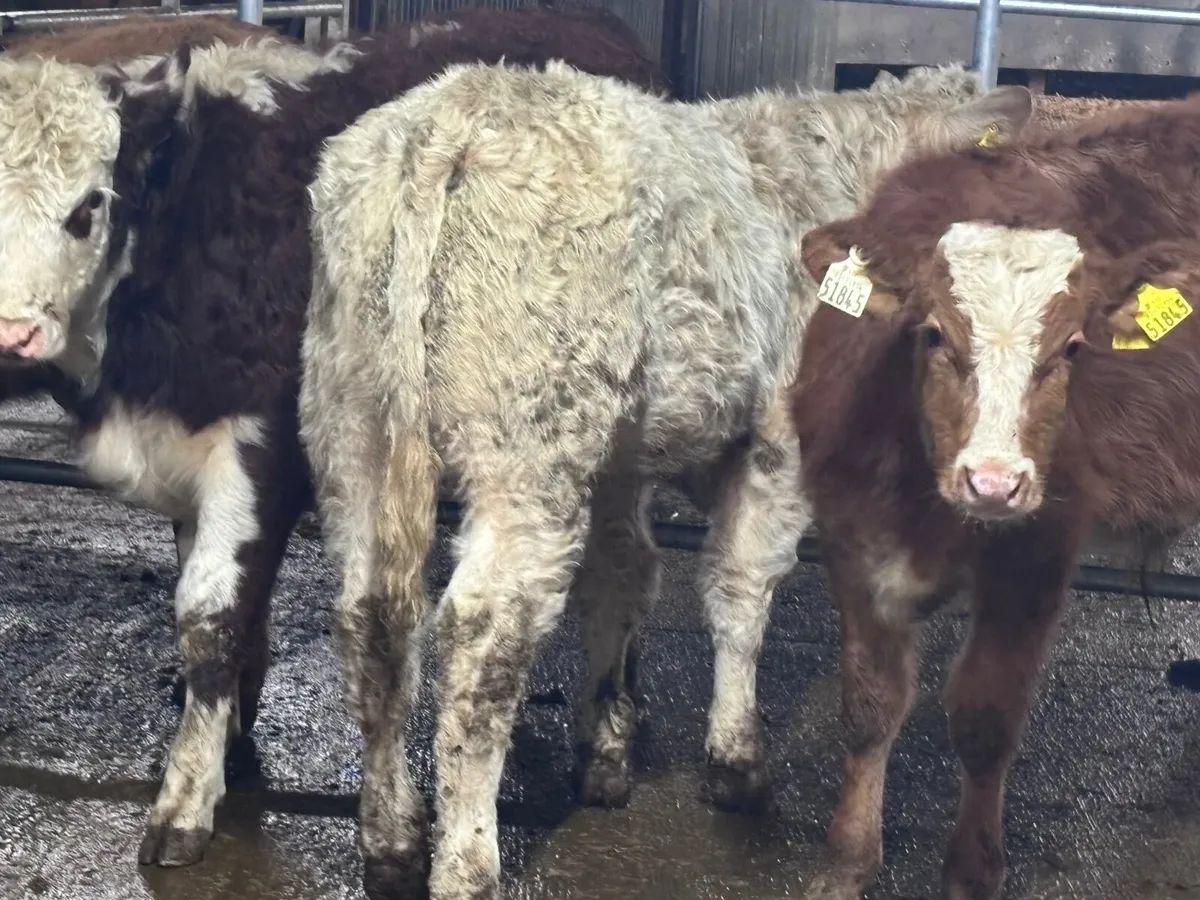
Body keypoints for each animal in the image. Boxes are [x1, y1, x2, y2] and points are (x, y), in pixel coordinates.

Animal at [0, 7, 668, 874]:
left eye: (87, 207)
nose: (12, 332)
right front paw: (230, 731)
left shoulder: (260, 446)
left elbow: (210, 617)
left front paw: (185, 800)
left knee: (623, 564)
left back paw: (609, 738)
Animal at [297, 57, 1033, 899]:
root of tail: (452, 114)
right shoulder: (778, 441)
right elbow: (740, 587)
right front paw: (735, 760)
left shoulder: (620, 457)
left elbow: (623, 575)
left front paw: (609, 739)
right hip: (528, 447)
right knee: (484, 641)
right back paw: (468, 862)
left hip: (351, 421)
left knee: (374, 617)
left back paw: (389, 839)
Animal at [793, 95, 1200, 898]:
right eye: (932, 334)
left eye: (1072, 349)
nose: (993, 480)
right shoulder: (846, 531)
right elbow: (869, 703)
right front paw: (848, 858)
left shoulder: (1038, 550)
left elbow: (985, 717)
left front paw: (971, 870)